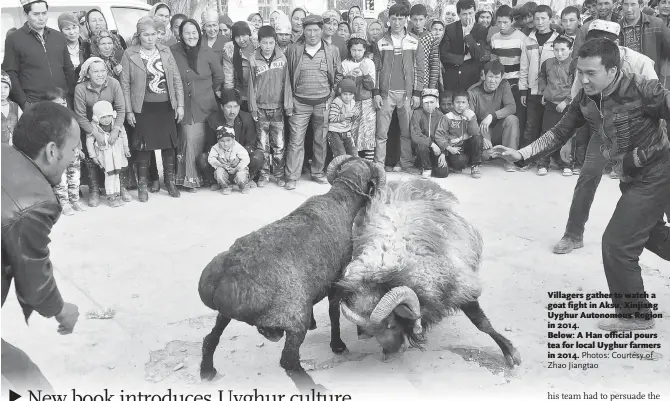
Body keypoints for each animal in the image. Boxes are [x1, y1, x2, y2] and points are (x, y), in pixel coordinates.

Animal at [200, 155, 386, 390]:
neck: (339, 200)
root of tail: (223, 276)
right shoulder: (336, 279)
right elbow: (334, 315)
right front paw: (337, 345)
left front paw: (317, 324)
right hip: (295, 319)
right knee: (289, 362)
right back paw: (314, 387)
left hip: (224, 314)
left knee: (210, 339)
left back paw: (207, 371)